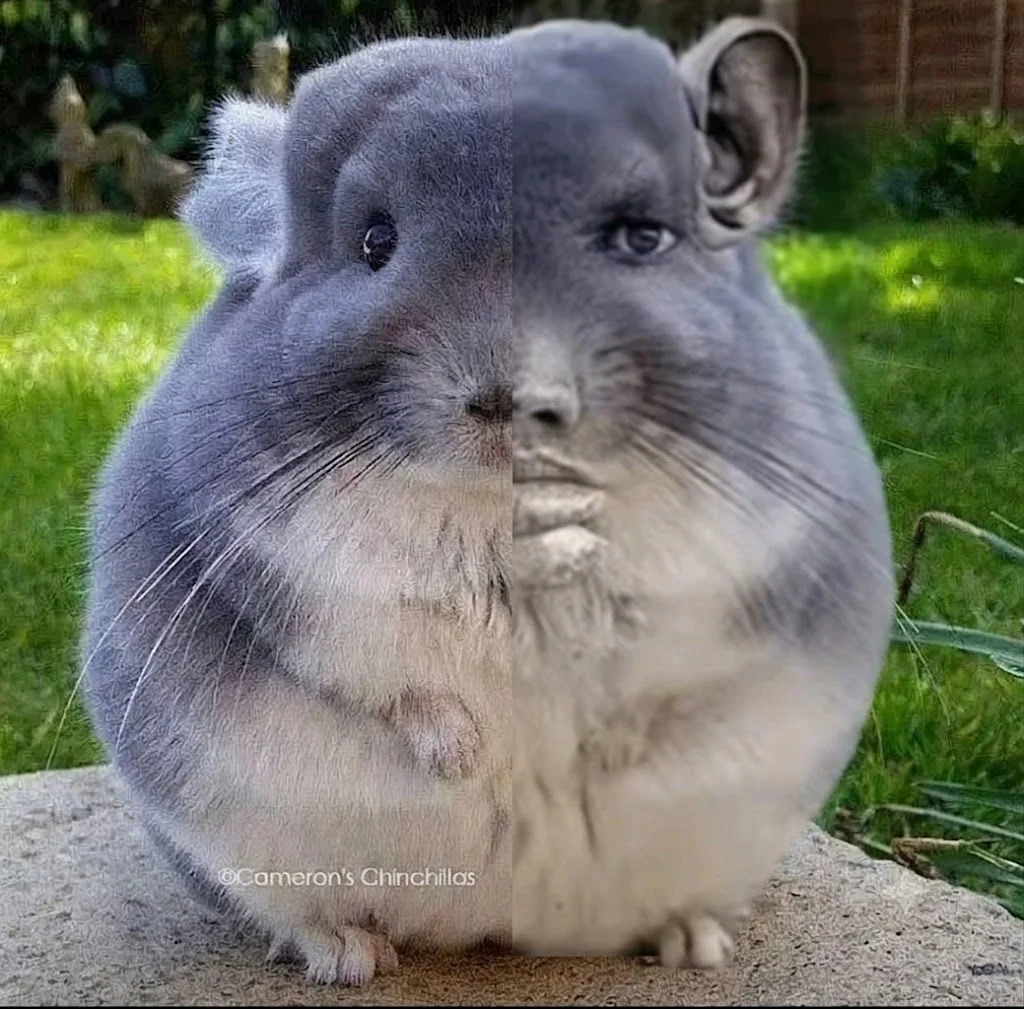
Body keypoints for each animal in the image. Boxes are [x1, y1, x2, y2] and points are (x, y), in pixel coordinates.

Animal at [81, 15, 894, 987]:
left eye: (640, 239)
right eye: (374, 242)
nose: (510, 395)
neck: (511, 516)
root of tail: (490, 926)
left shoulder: (742, 574)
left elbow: (663, 672)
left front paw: (609, 751)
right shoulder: (293, 583)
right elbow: (389, 672)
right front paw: (466, 759)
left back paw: (692, 939)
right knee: (294, 908)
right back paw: (348, 953)